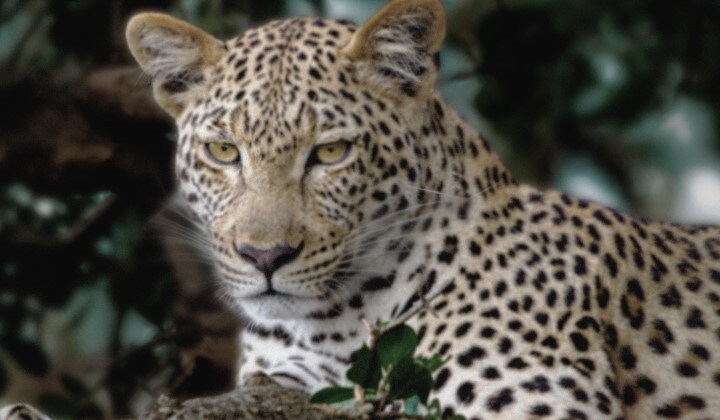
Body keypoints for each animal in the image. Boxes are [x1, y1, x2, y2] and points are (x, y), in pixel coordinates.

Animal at [7, 1, 717, 419]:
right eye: (223, 151)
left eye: (331, 153)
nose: (264, 257)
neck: (338, 320)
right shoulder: (285, 378)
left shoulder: (532, 400)